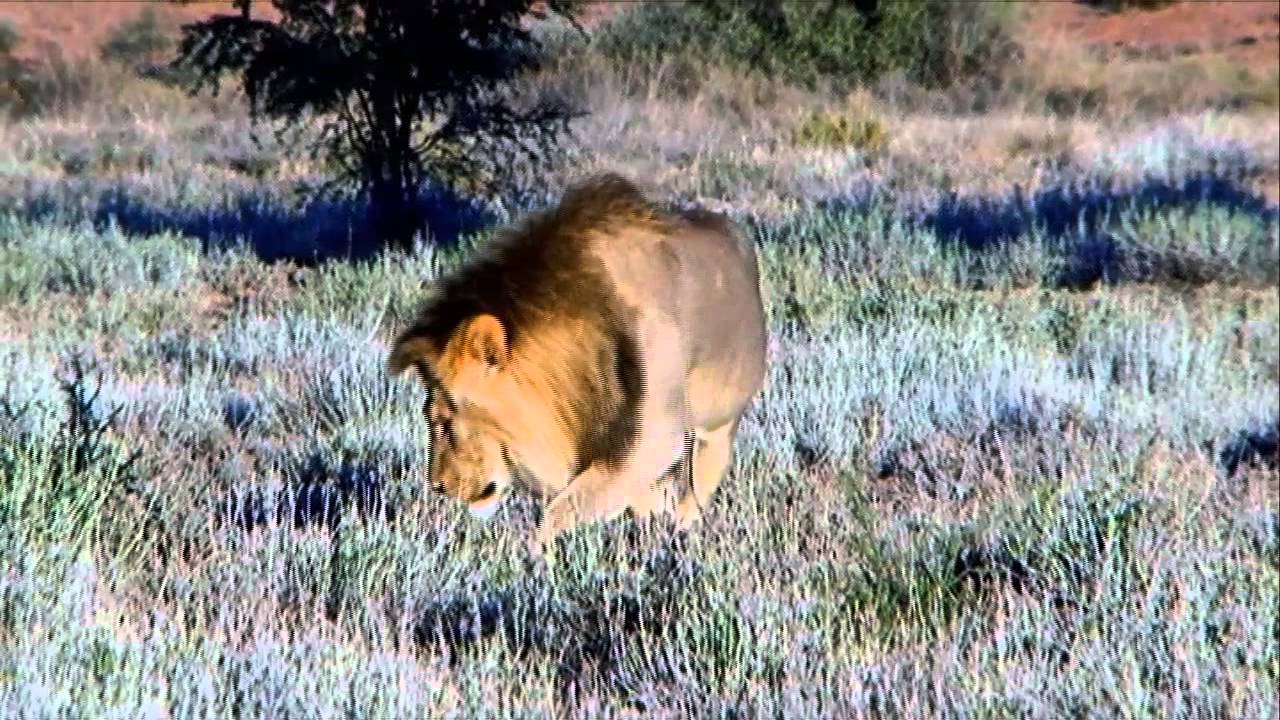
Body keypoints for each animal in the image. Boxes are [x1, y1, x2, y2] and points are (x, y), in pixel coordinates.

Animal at [386, 173, 767, 559]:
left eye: (444, 420)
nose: (438, 486)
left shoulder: (657, 433)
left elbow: (564, 509)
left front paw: (531, 557)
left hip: (717, 426)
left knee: (697, 489)